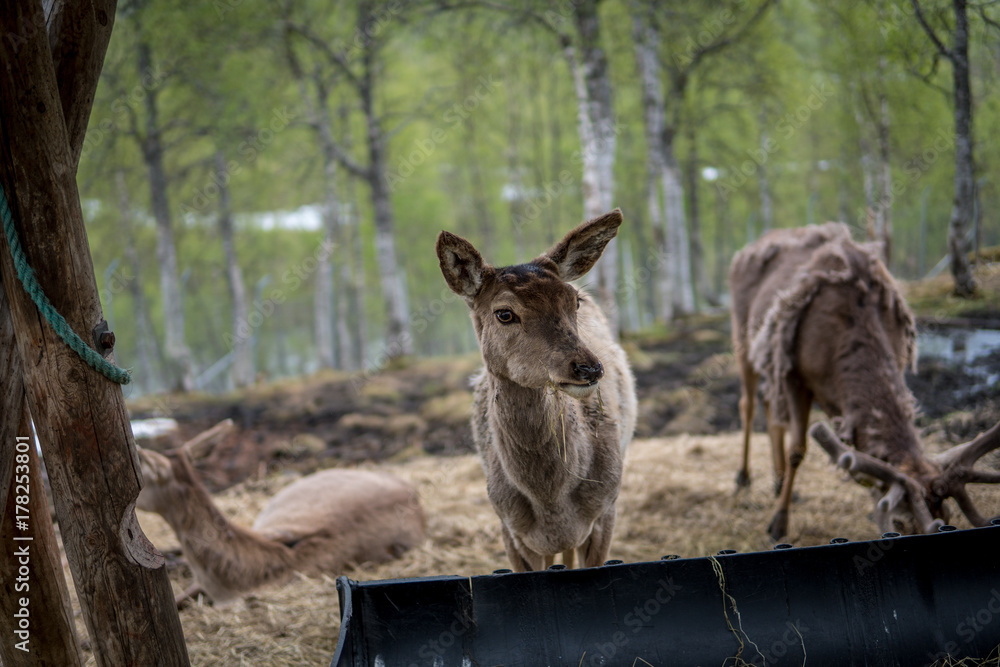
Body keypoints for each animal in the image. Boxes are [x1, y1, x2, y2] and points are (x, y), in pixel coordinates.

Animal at [436, 209, 637, 572]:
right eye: (504, 313)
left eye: (574, 301)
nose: (588, 367)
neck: (551, 501)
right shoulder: (510, 529)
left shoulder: (607, 510)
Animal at [730, 222, 1000, 541]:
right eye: (899, 522)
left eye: (947, 516)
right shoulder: (796, 374)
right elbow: (798, 450)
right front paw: (778, 524)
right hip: (744, 336)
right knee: (747, 404)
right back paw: (743, 478)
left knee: (769, 404)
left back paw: (779, 481)